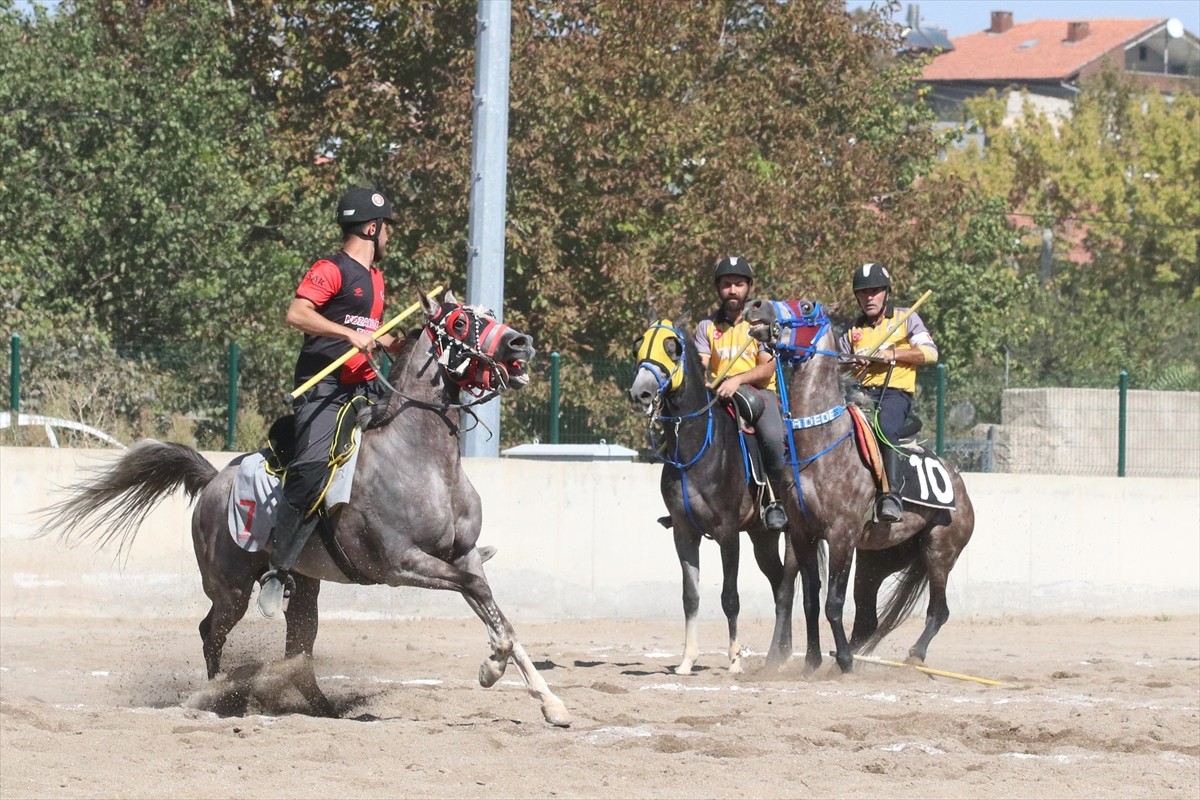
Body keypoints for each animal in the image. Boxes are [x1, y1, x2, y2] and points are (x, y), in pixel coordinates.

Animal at [39, 291, 573, 729]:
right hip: (232, 588)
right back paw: (219, 698)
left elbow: (497, 612)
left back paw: (322, 708)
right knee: (212, 632)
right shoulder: (401, 565)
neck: (421, 460)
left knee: (299, 650)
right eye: (461, 323)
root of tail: (212, 480)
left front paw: (550, 703)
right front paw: (489, 669)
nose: (522, 344)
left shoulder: (462, 556)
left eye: (492, 315)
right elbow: (482, 599)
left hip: (305, 585)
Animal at [628, 321, 825, 671]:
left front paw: (734, 659)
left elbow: (730, 598)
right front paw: (687, 660)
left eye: (672, 348)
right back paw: (780, 652)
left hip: (793, 536)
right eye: (638, 347)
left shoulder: (728, 533)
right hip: (762, 537)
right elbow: (690, 597)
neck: (696, 448)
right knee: (779, 585)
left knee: (789, 585)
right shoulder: (684, 533)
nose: (641, 393)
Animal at [748, 297, 974, 671]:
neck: (821, 446)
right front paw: (813, 661)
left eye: (806, 306)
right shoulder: (803, 535)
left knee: (938, 611)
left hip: (939, 551)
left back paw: (912, 655)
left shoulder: (842, 535)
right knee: (868, 617)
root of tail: (959, 485)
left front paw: (842, 661)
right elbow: (810, 601)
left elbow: (833, 603)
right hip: (879, 559)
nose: (756, 305)